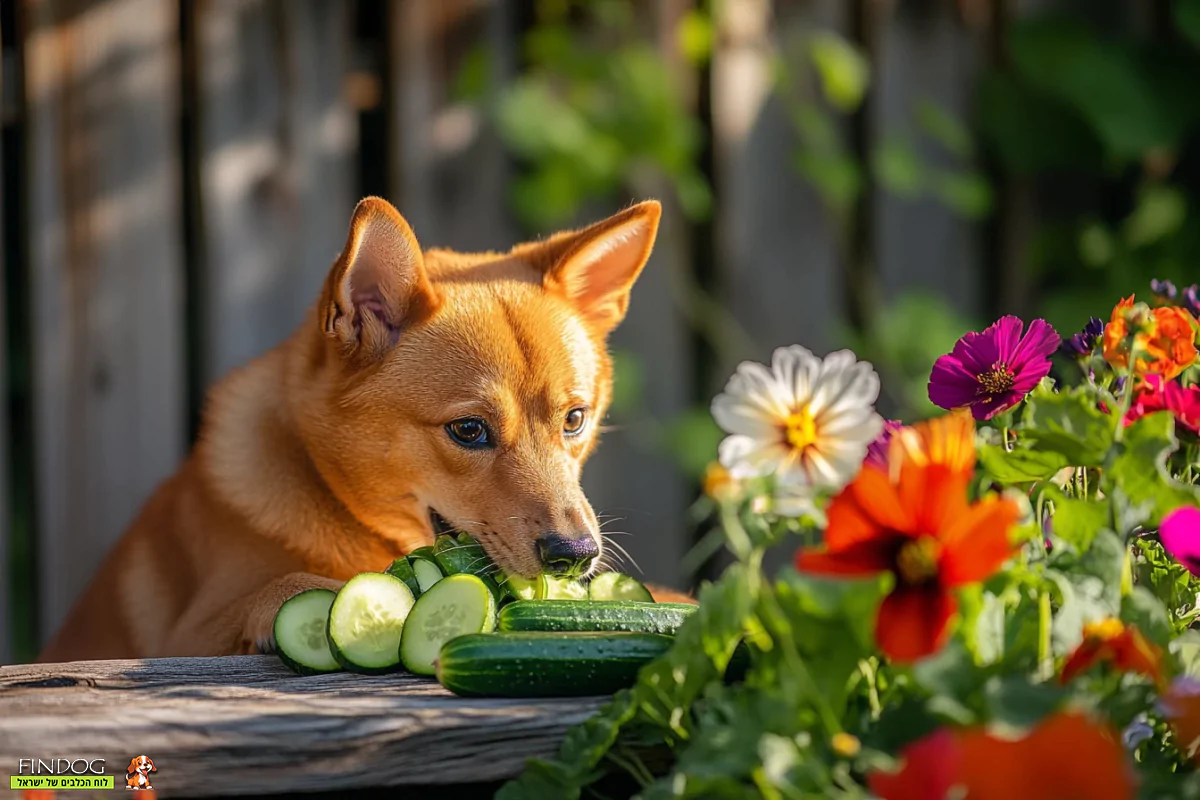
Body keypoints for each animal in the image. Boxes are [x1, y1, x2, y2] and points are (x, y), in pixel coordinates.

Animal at [37, 195, 691, 662]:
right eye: (469, 430)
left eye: (575, 419)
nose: (575, 556)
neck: (334, 497)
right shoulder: (187, 633)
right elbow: (287, 585)